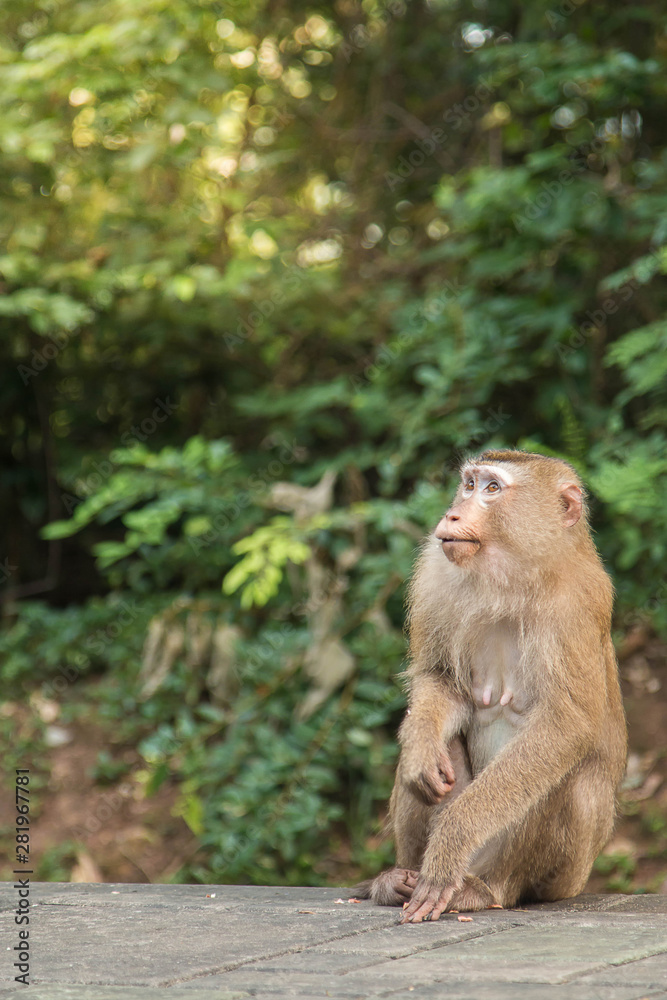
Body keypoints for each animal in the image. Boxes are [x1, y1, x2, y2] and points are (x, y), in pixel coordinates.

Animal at [356, 450, 627, 922]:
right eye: (468, 484)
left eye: (493, 488)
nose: (452, 514)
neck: (512, 580)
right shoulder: (437, 576)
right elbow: (442, 682)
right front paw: (420, 749)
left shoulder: (576, 606)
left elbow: (565, 727)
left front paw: (454, 832)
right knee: (438, 753)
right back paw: (399, 878)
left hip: (565, 877)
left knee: (570, 775)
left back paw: (484, 888)